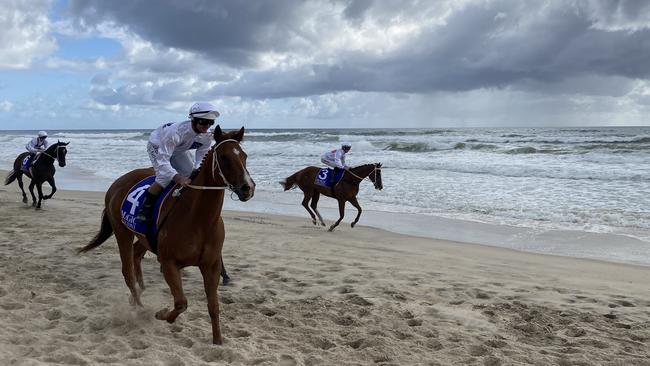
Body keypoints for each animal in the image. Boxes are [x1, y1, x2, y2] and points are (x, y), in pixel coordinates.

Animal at [78, 126, 253, 344]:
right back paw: (140, 307)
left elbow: (213, 306)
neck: (199, 219)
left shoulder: (211, 265)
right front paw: (161, 314)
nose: (248, 188)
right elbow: (181, 303)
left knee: (136, 254)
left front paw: (218, 340)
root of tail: (116, 183)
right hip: (122, 232)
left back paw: (139, 291)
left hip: (144, 237)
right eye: (224, 157)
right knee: (127, 271)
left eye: (244, 156)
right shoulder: (169, 262)